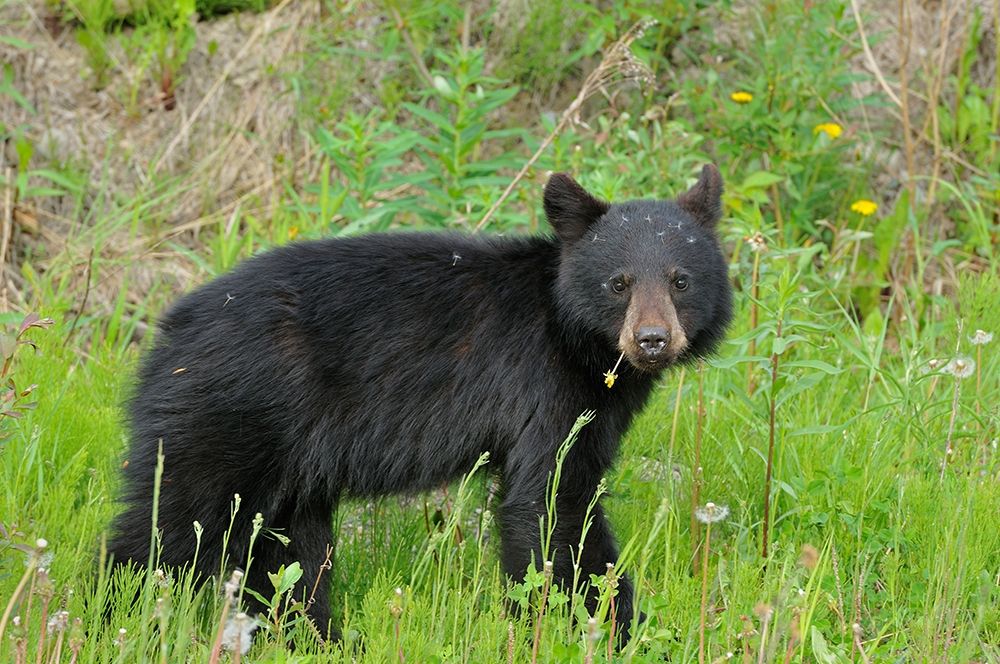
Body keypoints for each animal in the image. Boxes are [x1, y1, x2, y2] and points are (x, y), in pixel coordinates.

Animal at [108, 165, 733, 644]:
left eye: (680, 280)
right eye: (618, 283)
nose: (651, 340)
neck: (574, 336)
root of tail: (168, 332)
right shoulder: (543, 388)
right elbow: (553, 501)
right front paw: (617, 627)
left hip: (291, 462)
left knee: (289, 554)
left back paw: (321, 639)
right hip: (230, 414)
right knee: (170, 526)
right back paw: (116, 617)